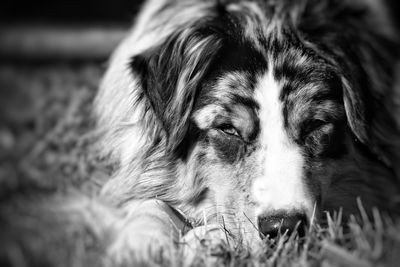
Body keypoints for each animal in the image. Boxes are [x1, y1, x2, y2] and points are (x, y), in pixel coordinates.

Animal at [94, 0, 400, 264]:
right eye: (228, 129)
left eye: (315, 125)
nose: (284, 228)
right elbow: (151, 201)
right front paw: (141, 243)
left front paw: (208, 239)